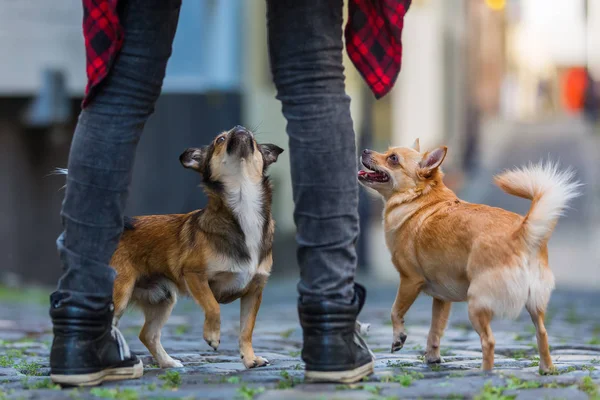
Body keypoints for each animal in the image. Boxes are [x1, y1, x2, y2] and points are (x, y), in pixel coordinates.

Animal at [110, 126, 284, 370]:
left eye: (254, 140)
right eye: (220, 139)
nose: (240, 128)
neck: (243, 206)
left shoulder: (254, 291)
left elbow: (246, 330)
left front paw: (250, 359)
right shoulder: (194, 275)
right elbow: (213, 306)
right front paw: (212, 336)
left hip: (162, 298)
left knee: (147, 334)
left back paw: (168, 362)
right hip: (120, 295)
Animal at [358, 139, 580, 374]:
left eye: (393, 159)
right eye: (387, 151)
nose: (364, 150)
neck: (420, 198)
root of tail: (521, 233)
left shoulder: (409, 281)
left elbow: (395, 311)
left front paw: (399, 338)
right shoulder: (442, 298)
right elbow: (435, 330)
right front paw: (432, 358)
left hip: (476, 304)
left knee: (489, 341)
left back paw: (485, 373)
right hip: (534, 305)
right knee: (542, 333)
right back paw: (547, 369)